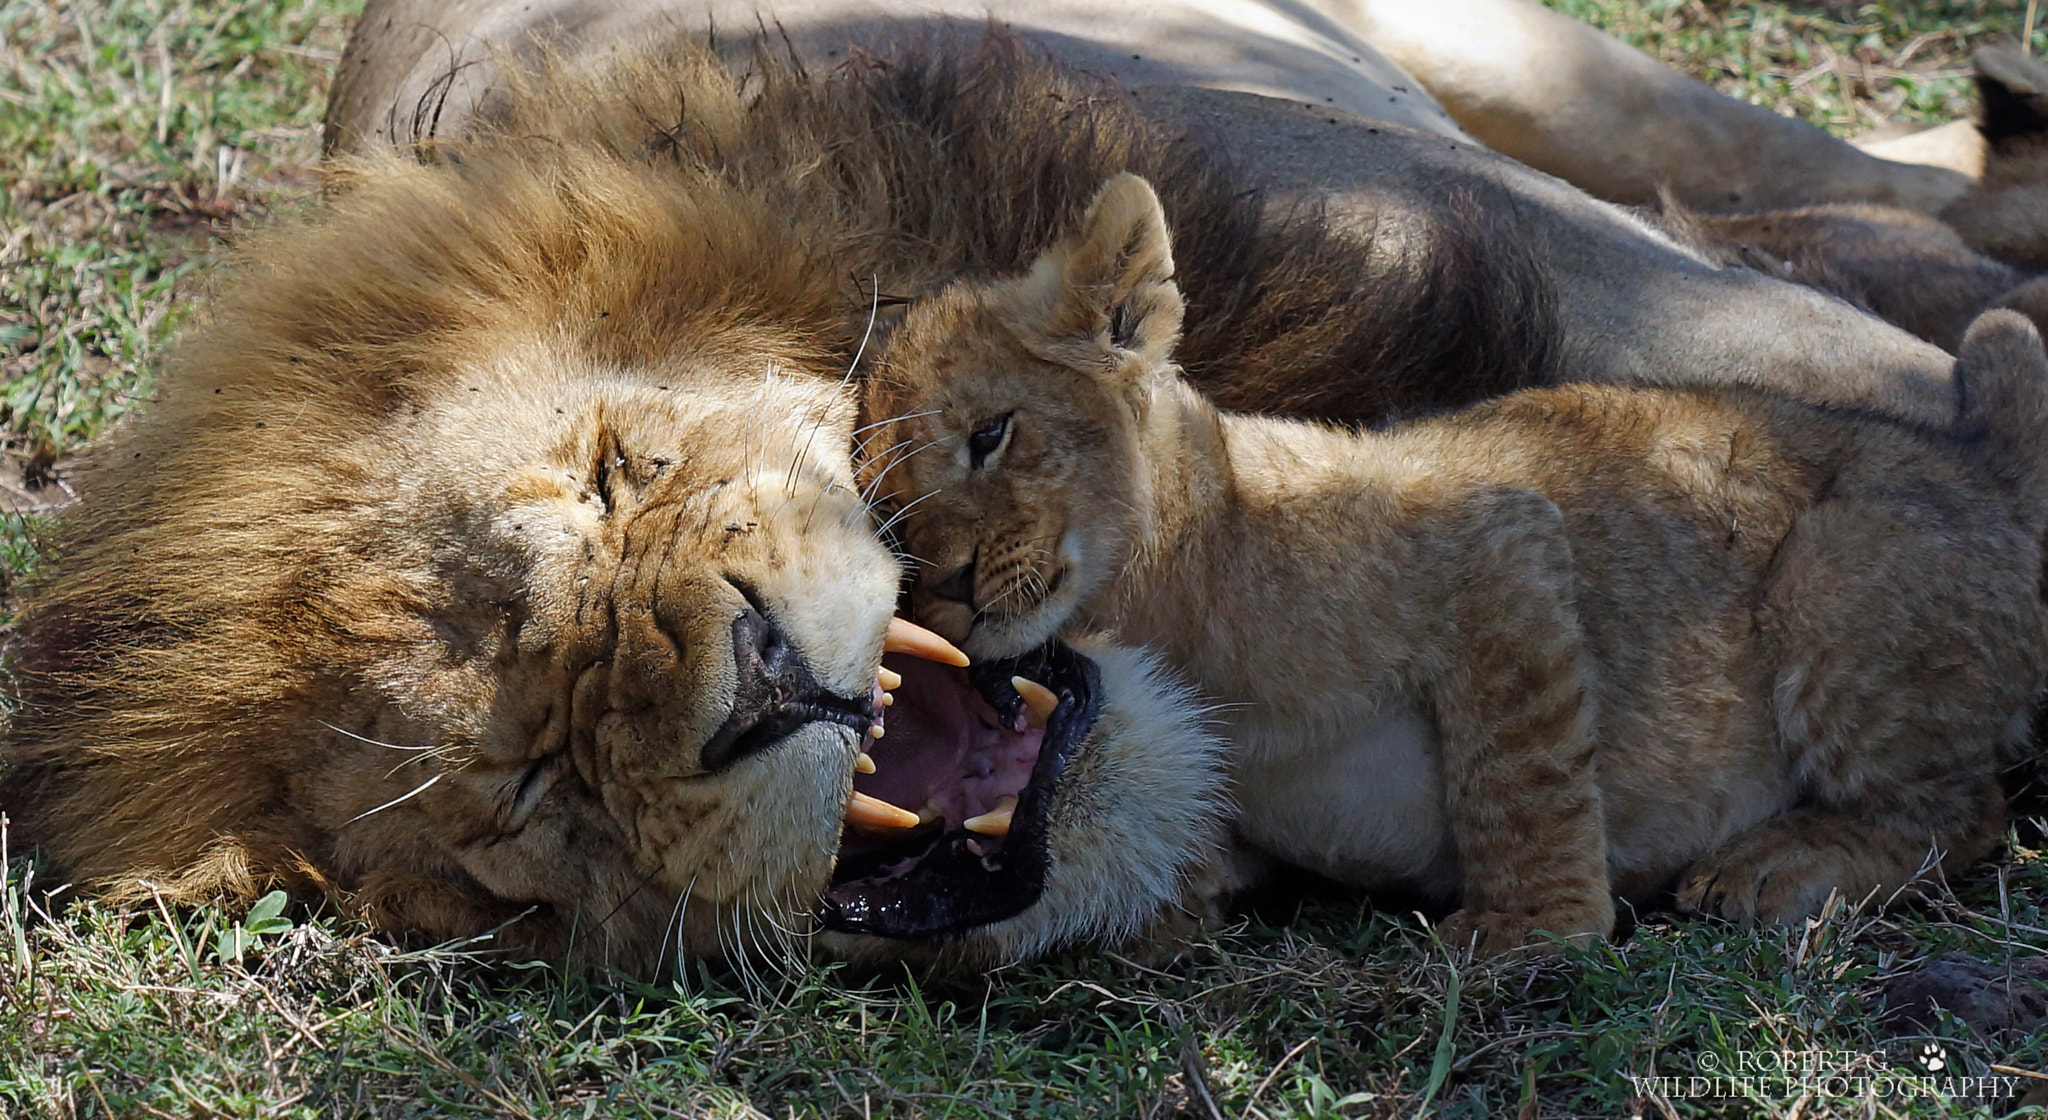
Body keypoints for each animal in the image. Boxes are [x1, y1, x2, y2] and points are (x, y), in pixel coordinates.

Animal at [864, 175, 2048, 954]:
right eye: (892, 518)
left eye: (990, 435)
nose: (950, 589)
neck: (1174, 603)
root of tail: (1987, 461)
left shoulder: (1495, 542)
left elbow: (1514, 774)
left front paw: (1529, 928)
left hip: (1835, 577)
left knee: (1968, 810)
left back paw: (1779, 865)